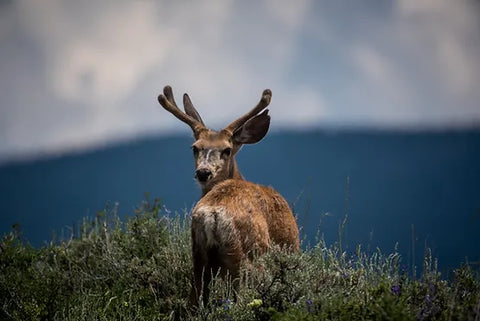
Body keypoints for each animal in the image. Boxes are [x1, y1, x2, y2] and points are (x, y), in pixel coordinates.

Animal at [158, 84, 300, 304]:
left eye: (226, 149)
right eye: (195, 148)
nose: (203, 172)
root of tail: (212, 215)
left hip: (198, 256)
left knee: (195, 299)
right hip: (247, 258)